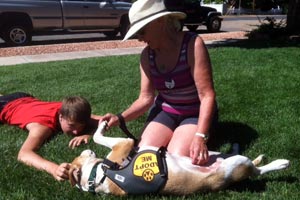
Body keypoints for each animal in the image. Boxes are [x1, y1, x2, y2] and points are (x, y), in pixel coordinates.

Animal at [69, 121, 290, 196]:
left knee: (239, 155)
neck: (98, 176)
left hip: (210, 154)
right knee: (257, 170)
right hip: (236, 165)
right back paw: (280, 163)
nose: (86, 151)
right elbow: (98, 136)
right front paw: (102, 125)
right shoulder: (124, 144)